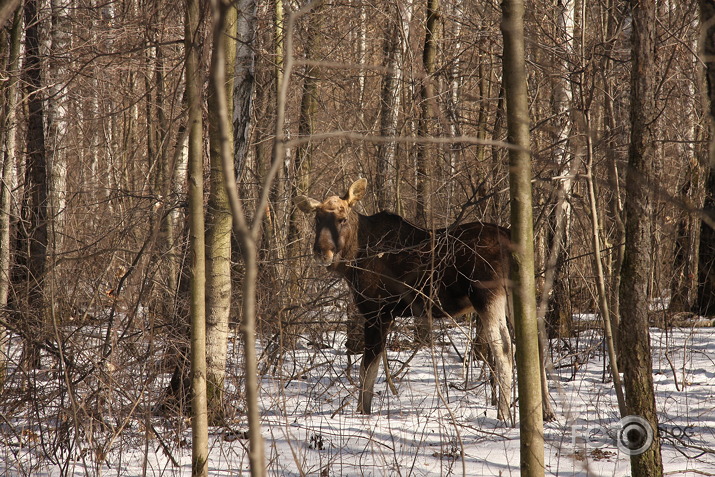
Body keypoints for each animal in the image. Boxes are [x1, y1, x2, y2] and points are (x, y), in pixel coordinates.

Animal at [296, 178, 516, 420]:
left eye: (342, 219)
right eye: (317, 219)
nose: (321, 251)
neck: (354, 258)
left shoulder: (377, 311)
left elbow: (367, 368)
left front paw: (363, 413)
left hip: (487, 296)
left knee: (505, 350)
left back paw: (504, 414)